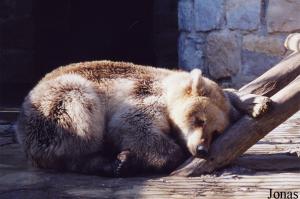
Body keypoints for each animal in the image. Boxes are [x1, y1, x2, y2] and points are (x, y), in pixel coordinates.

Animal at [14, 60, 268, 177]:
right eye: (200, 120)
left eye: (217, 132)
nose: (202, 149)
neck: (168, 88)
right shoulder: (143, 94)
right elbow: (131, 124)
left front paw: (256, 102)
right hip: (57, 104)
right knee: (80, 118)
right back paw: (115, 162)